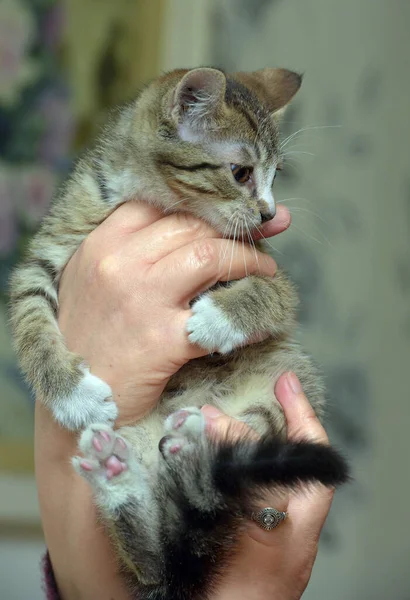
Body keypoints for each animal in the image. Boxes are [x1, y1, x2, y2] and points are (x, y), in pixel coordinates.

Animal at [9, 68, 348, 596]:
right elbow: (29, 321)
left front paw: (217, 319)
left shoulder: (270, 272)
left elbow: (270, 294)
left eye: (276, 175)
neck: (157, 201)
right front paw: (71, 394)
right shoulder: (43, 256)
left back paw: (192, 447)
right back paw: (119, 480)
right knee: (153, 564)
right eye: (241, 173)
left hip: (285, 378)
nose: (270, 214)